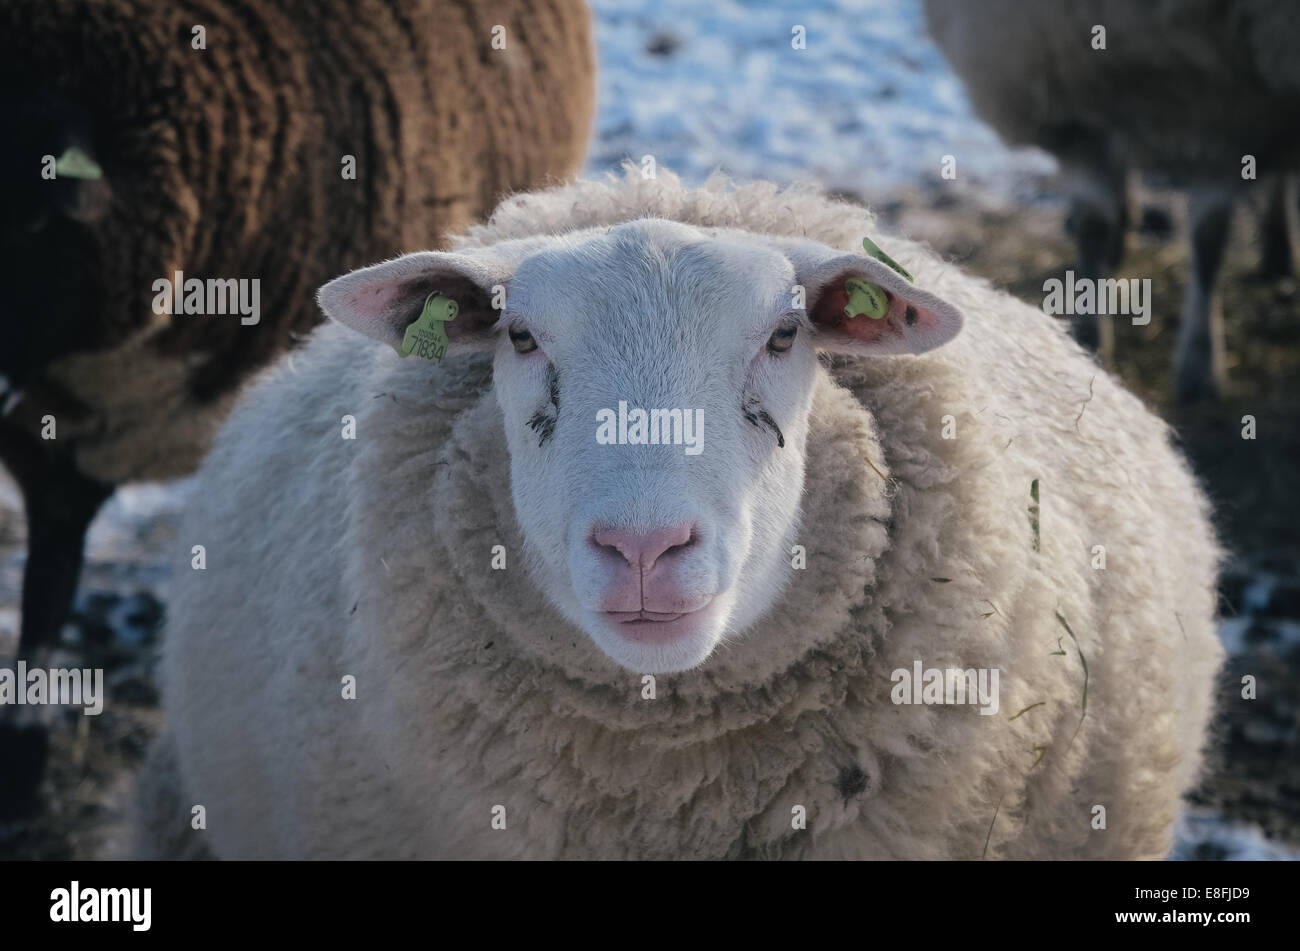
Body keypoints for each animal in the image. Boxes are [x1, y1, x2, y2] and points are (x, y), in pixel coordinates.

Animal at [925, 0, 1300, 400]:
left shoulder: (1227, 120)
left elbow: (1208, 241)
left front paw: (1200, 364)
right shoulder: (1075, 109)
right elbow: (1094, 227)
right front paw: (1087, 337)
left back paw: (1279, 246)